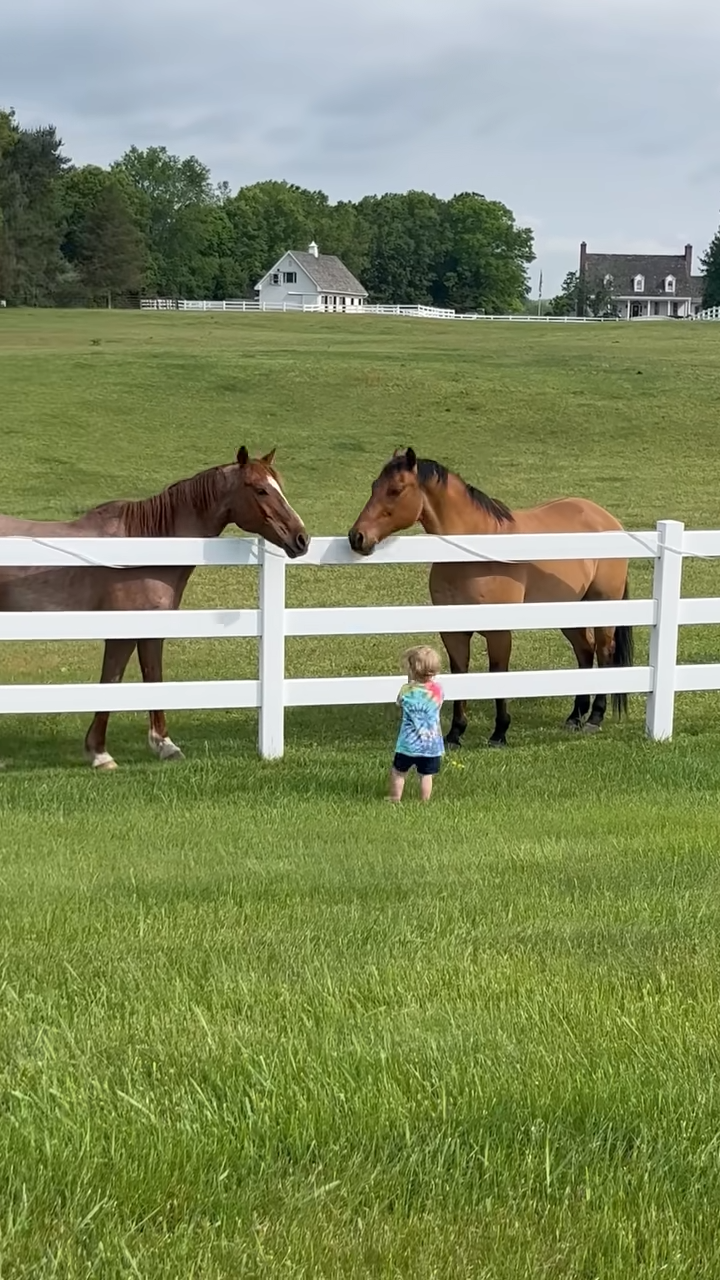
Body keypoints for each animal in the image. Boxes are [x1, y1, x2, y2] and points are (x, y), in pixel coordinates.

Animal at [0, 450, 304, 768]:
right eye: (260, 489)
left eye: (279, 485)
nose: (301, 538)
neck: (144, 549)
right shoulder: (122, 632)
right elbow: (112, 681)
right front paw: (100, 753)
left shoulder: (152, 627)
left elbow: (153, 677)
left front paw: (165, 745)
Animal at [345, 453, 630, 747]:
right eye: (374, 486)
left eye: (396, 489)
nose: (357, 537)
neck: (475, 553)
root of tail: (606, 519)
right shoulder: (454, 632)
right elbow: (460, 673)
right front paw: (455, 734)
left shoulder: (498, 632)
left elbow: (497, 674)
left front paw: (499, 732)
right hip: (569, 612)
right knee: (584, 651)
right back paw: (575, 716)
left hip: (603, 607)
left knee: (603, 652)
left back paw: (595, 717)